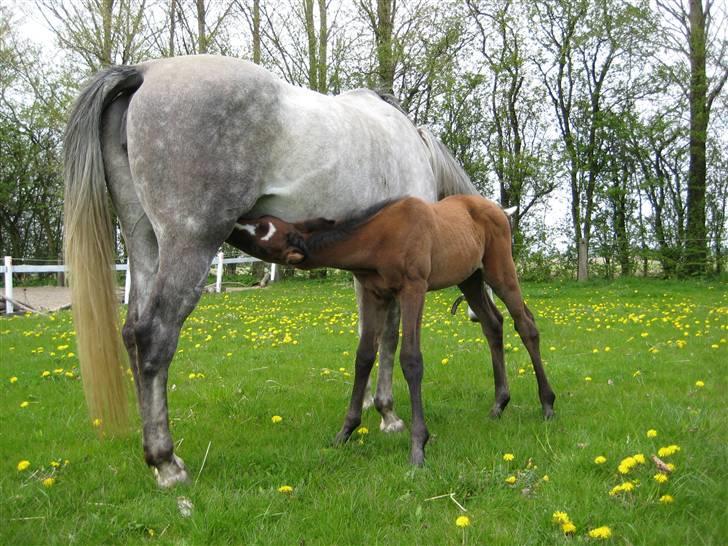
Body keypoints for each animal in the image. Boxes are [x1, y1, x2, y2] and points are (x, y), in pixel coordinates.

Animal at [65, 54, 480, 484]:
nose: (473, 314)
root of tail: (145, 72)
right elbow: (390, 337)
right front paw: (388, 414)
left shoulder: (366, 273)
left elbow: (369, 335)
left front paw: (367, 405)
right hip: (190, 245)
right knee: (153, 337)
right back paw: (166, 462)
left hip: (143, 241)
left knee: (132, 333)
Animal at [233, 193, 556, 462]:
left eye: (262, 227)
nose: (237, 219)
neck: (378, 238)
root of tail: (499, 210)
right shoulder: (376, 294)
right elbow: (364, 356)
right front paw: (345, 432)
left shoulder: (414, 288)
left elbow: (411, 360)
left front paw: (418, 446)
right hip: (470, 278)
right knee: (493, 325)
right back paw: (499, 404)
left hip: (500, 270)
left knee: (525, 325)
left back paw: (548, 404)